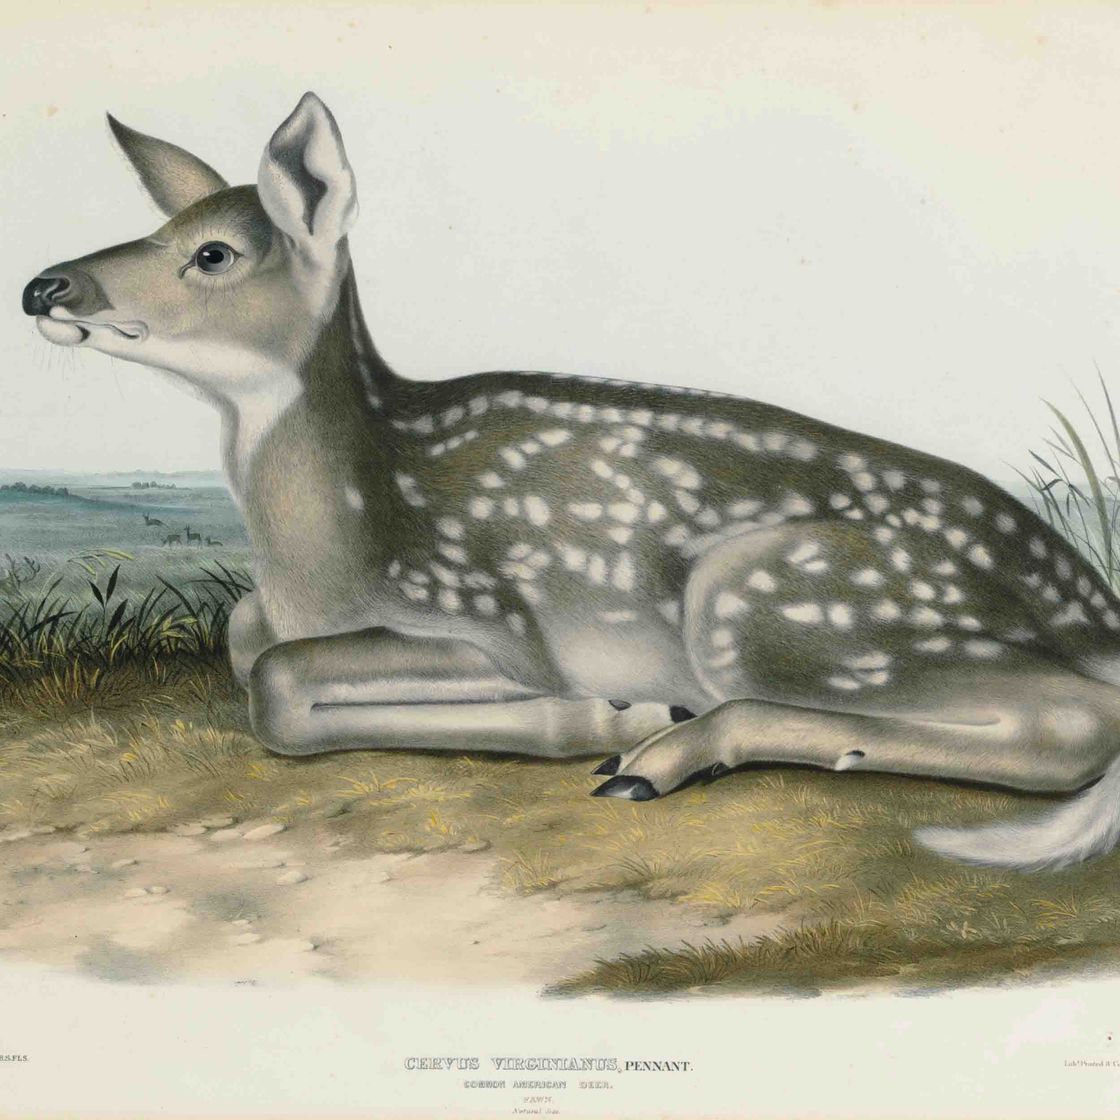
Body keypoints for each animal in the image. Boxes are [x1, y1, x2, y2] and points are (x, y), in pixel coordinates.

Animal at [21, 93, 1120, 872]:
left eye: (213, 252)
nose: (43, 286)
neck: (325, 556)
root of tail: (1094, 604)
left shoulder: (493, 619)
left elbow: (280, 683)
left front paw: (601, 716)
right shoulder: (281, 610)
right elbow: (248, 639)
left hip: (768, 598)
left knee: (1074, 722)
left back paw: (655, 752)